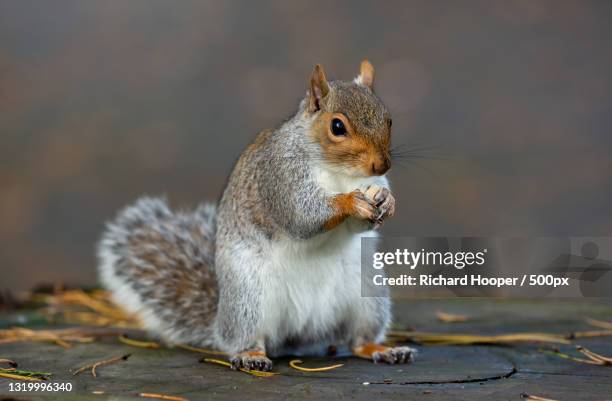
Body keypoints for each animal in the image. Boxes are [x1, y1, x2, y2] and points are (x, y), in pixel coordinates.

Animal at [99, 61, 416, 370]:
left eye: (388, 119)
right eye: (337, 126)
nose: (382, 165)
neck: (339, 171)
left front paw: (388, 202)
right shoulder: (279, 178)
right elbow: (303, 215)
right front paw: (351, 202)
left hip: (368, 294)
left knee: (358, 339)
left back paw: (383, 350)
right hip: (248, 298)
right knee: (244, 338)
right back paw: (250, 355)